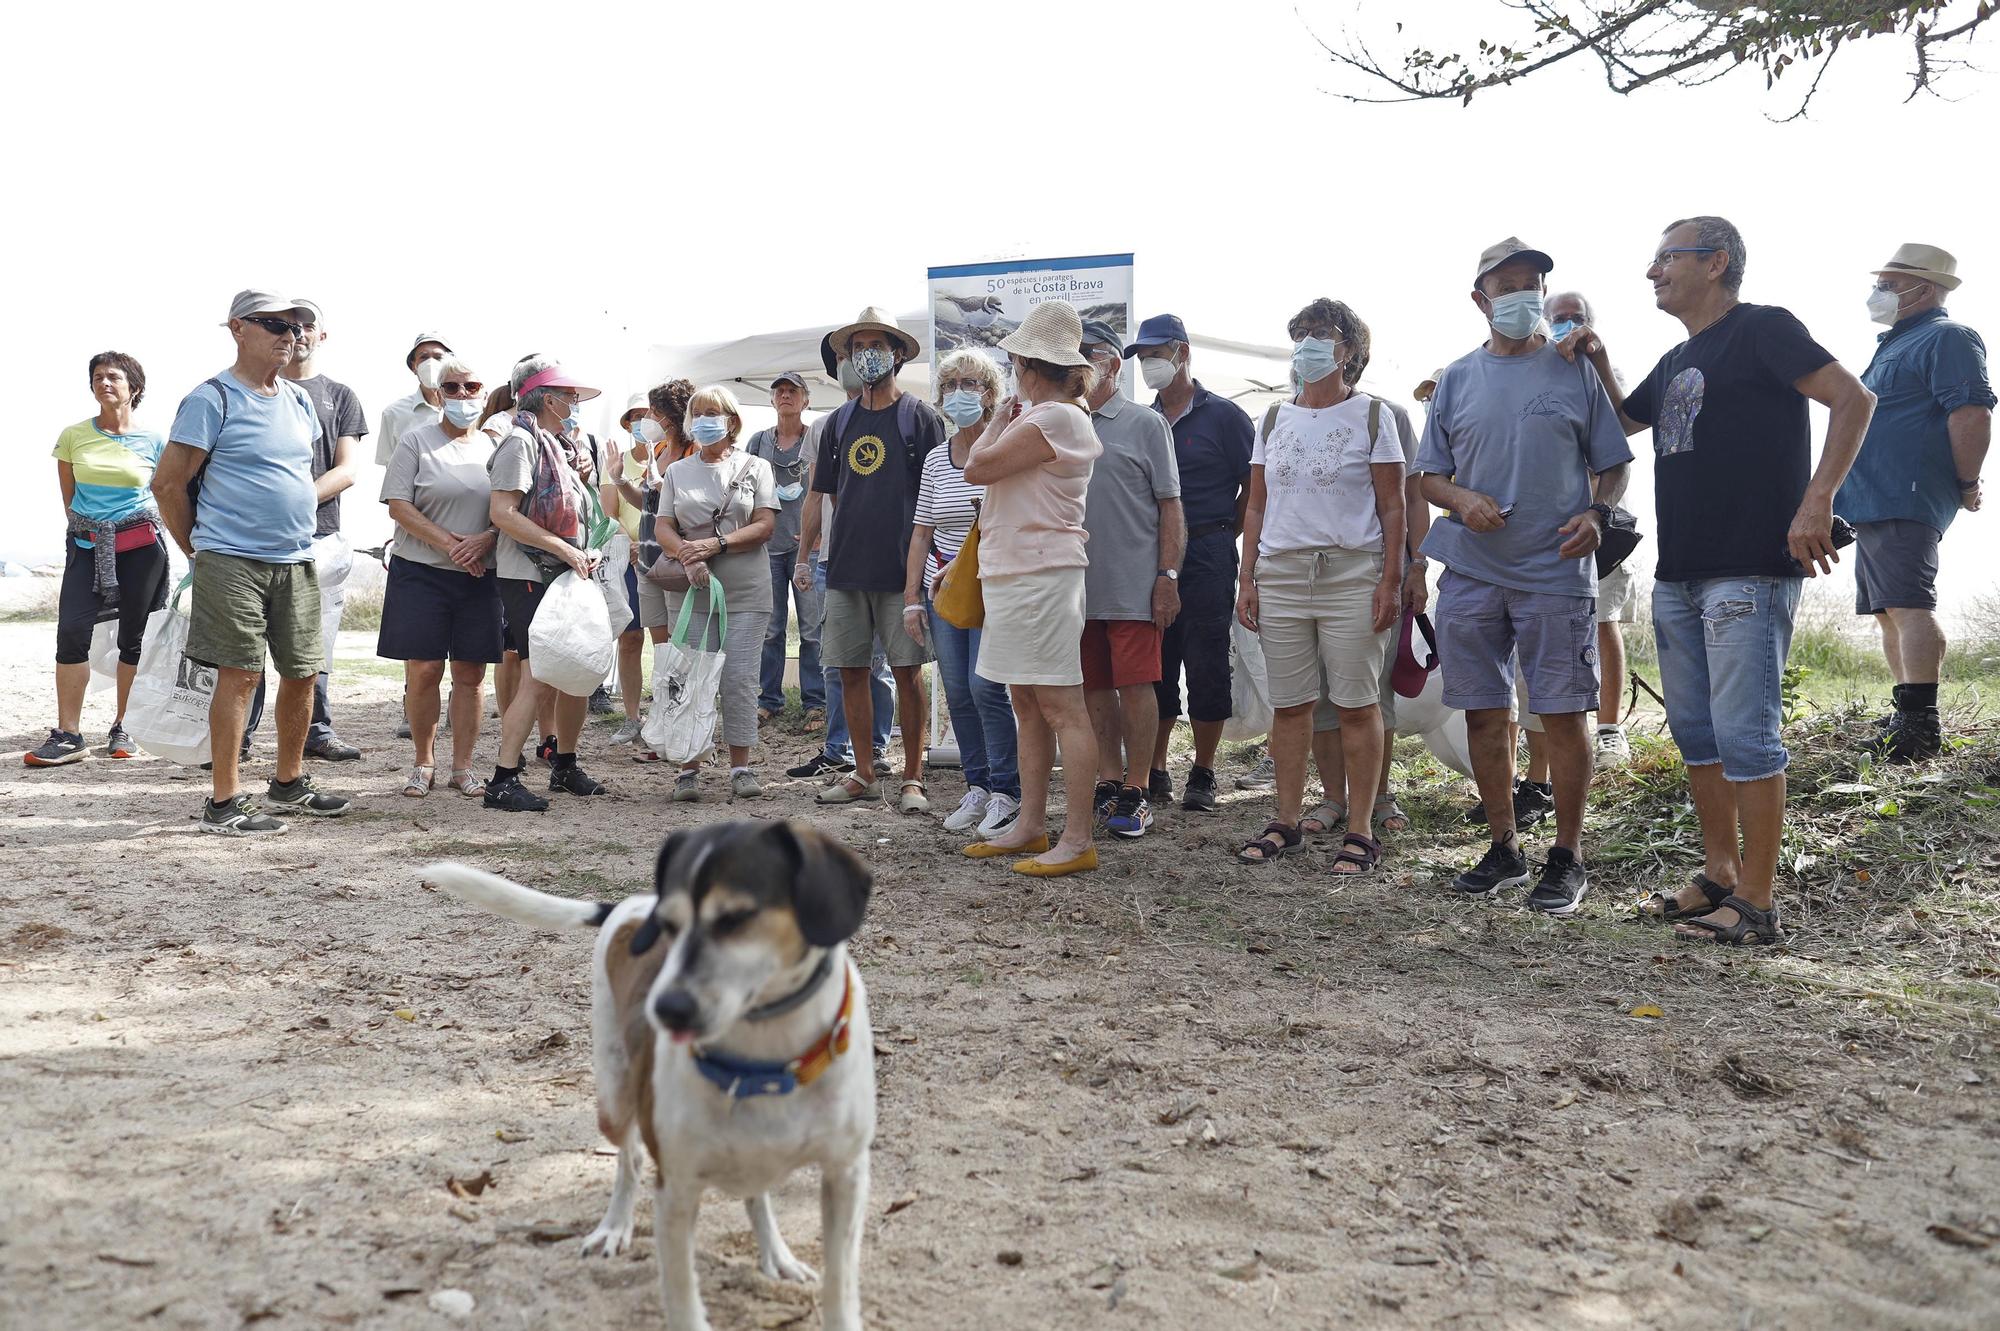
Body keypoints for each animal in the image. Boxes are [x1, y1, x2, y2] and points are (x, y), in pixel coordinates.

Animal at [426, 815, 872, 1319]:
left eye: (736, 918)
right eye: (669, 926)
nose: (666, 1009)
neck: (764, 1061)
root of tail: (634, 902)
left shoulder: (847, 1175)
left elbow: (840, 1288)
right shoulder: (676, 1189)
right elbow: (682, 1299)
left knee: (754, 1191)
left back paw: (776, 1254)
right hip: (614, 1099)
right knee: (630, 1158)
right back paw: (614, 1226)